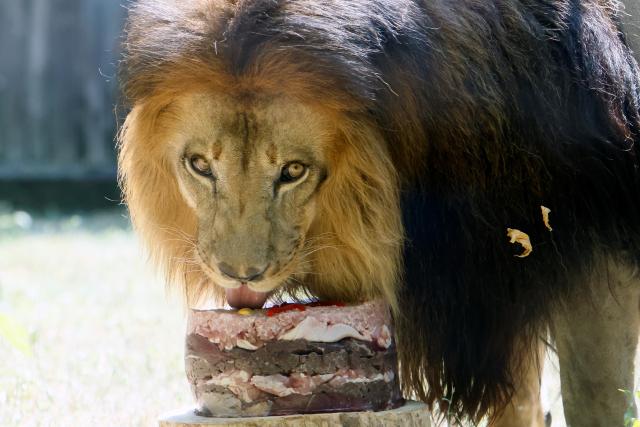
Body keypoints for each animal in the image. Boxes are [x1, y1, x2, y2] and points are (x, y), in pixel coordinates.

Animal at [118, 0, 640, 425]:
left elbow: (593, 399)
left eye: (293, 171)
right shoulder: (489, 298)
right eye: (200, 165)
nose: (241, 274)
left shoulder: (590, 260)